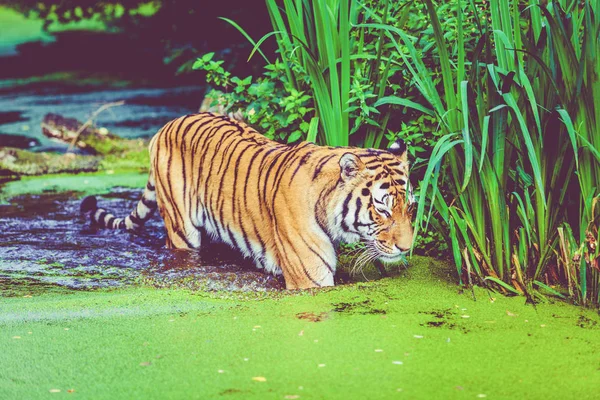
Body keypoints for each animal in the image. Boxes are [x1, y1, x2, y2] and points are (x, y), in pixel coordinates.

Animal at [82, 111, 414, 288]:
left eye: (410, 206)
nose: (406, 248)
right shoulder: (310, 280)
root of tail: (168, 124)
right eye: (382, 209)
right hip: (181, 229)